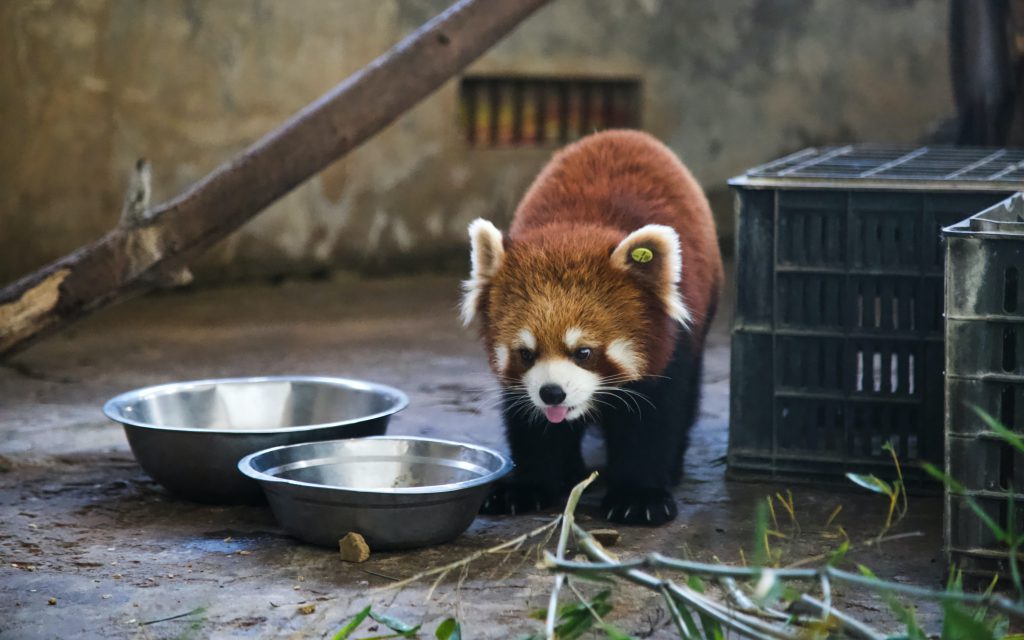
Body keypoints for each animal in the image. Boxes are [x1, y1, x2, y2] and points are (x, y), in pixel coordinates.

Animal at [460, 130, 724, 524]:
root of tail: (622, 133)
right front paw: (526, 487)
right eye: (526, 353)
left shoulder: (668, 349)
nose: (552, 393)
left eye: (584, 352)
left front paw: (640, 496)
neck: (576, 228)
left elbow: (653, 421)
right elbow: (531, 426)